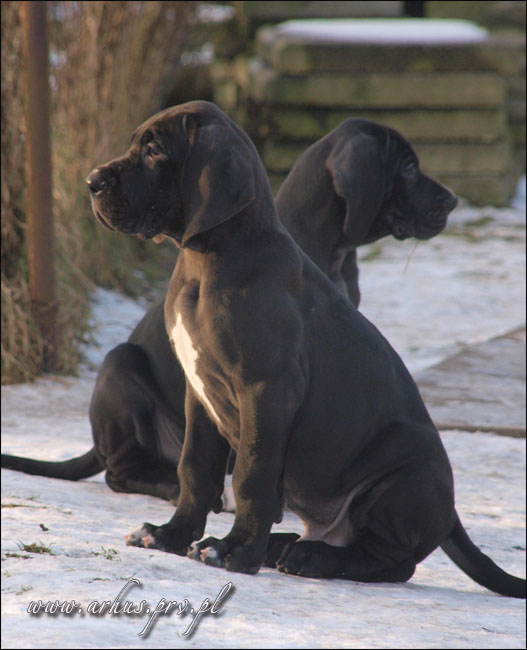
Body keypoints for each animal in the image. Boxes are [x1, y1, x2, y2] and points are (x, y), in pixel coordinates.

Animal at [1, 117, 456, 508]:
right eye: (409, 167)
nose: (452, 200)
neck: (335, 250)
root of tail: (95, 447)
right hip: (121, 364)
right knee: (122, 471)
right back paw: (173, 485)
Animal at [81, 101, 523, 598]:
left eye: (154, 150)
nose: (91, 182)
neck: (207, 260)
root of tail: (449, 517)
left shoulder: (267, 388)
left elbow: (252, 475)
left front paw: (235, 551)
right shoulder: (199, 390)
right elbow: (194, 468)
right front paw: (170, 536)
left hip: (407, 466)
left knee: (390, 561)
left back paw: (312, 556)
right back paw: (286, 545)